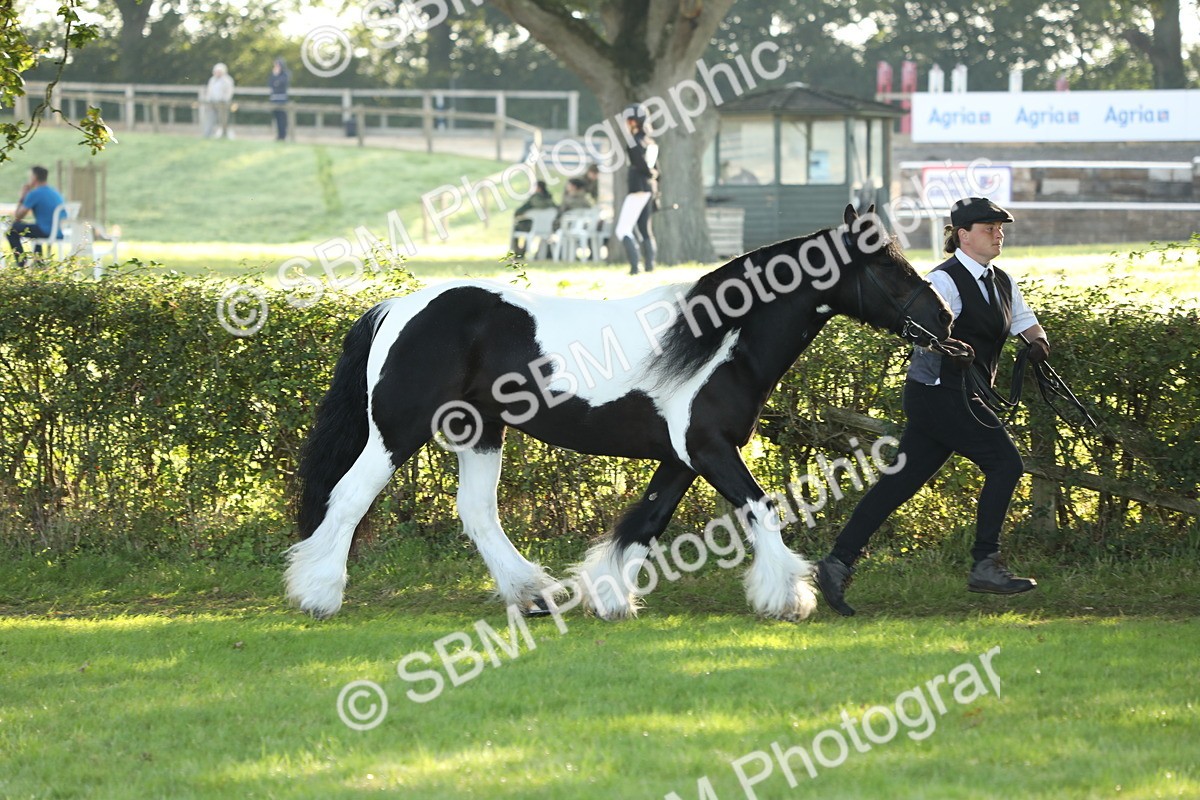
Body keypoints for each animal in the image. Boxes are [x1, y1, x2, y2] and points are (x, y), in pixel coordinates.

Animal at [285, 205, 952, 621]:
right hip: (397, 433)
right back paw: (319, 594)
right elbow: (762, 510)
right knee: (348, 498)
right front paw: (788, 598)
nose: (946, 322)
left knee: (477, 514)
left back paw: (536, 595)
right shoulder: (710, 449)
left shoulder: (682, 459)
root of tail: (396, 308)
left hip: (480, 433)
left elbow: (643, 524)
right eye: (890, 269)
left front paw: (608, 598)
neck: (721, 340)